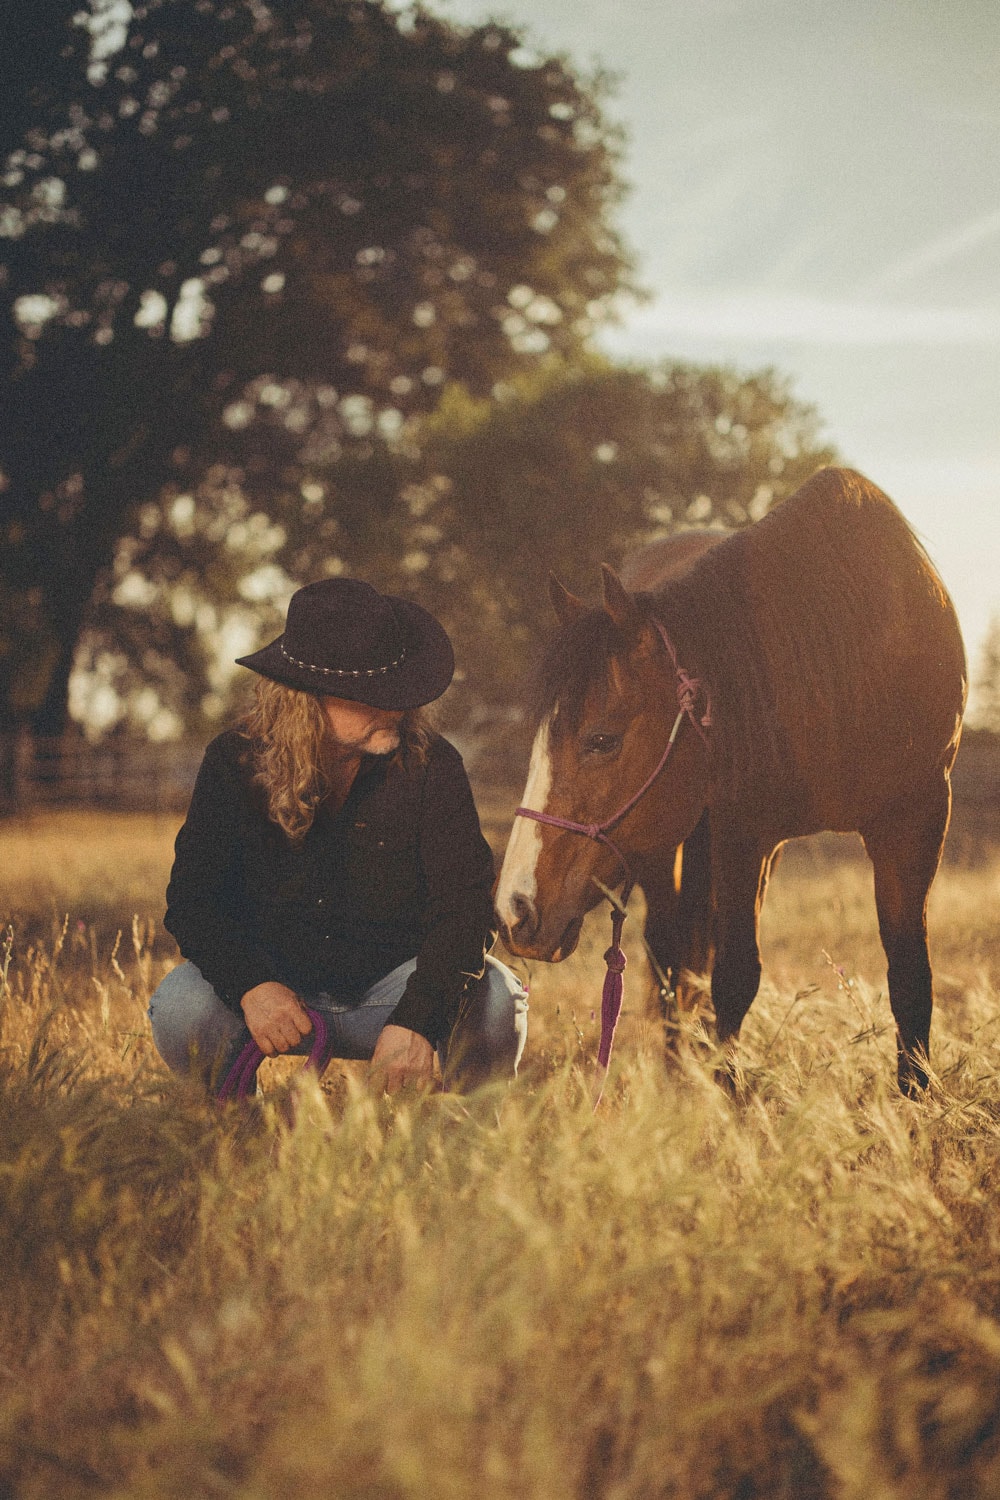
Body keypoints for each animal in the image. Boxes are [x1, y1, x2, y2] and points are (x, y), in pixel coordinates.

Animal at [495, 468, 967, 1094]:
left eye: (601, 739)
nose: (513, 911)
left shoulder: (917, 817)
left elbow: (911, 973)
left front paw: (914, 1097)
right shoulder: (741, 830)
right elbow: (735, 975)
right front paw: (726, 1096)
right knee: (670, 952)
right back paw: (678, 1067)